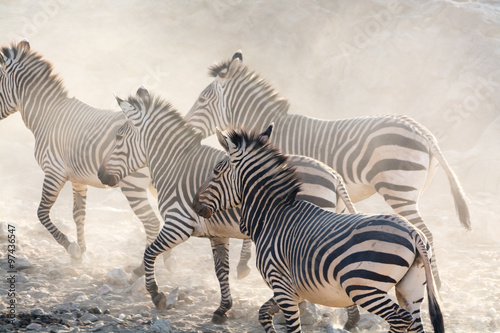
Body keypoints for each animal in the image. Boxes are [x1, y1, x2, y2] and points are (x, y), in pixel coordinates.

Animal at [0, 39, 160, 268]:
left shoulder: (54, 171)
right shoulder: (78, 178)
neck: (46, 115)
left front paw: (72, 248)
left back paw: (143, 267)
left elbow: (41, 212)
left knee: (153, 223)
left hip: (133, 185)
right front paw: (82, 250)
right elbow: (79, 214)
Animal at [97, 86, 364, 326]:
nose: (101, 175)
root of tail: (333, 175)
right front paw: (222, 309)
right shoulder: (217, 233)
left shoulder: (178, 224)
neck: (174, 165)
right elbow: (221, 271)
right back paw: (349, 318)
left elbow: (149, 252)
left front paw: (156, 295)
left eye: (118, 138)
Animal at [186, 50, 470, 286]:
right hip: (409, 190)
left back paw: (435, 284)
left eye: (202, 99)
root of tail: (423, 132)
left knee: (427, 233)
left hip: (397, 189)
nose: (187, 128)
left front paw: (243, 266)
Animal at [192, 124, 446, 332]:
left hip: (363, 287)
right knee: (414, 323)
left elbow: (292, 328)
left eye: (216, 171)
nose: (194, 205)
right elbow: (263, 314)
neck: (273, 215)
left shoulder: (281, 285)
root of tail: (414, 234)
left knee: (400, 319)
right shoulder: (292, 290)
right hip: (410, 288)